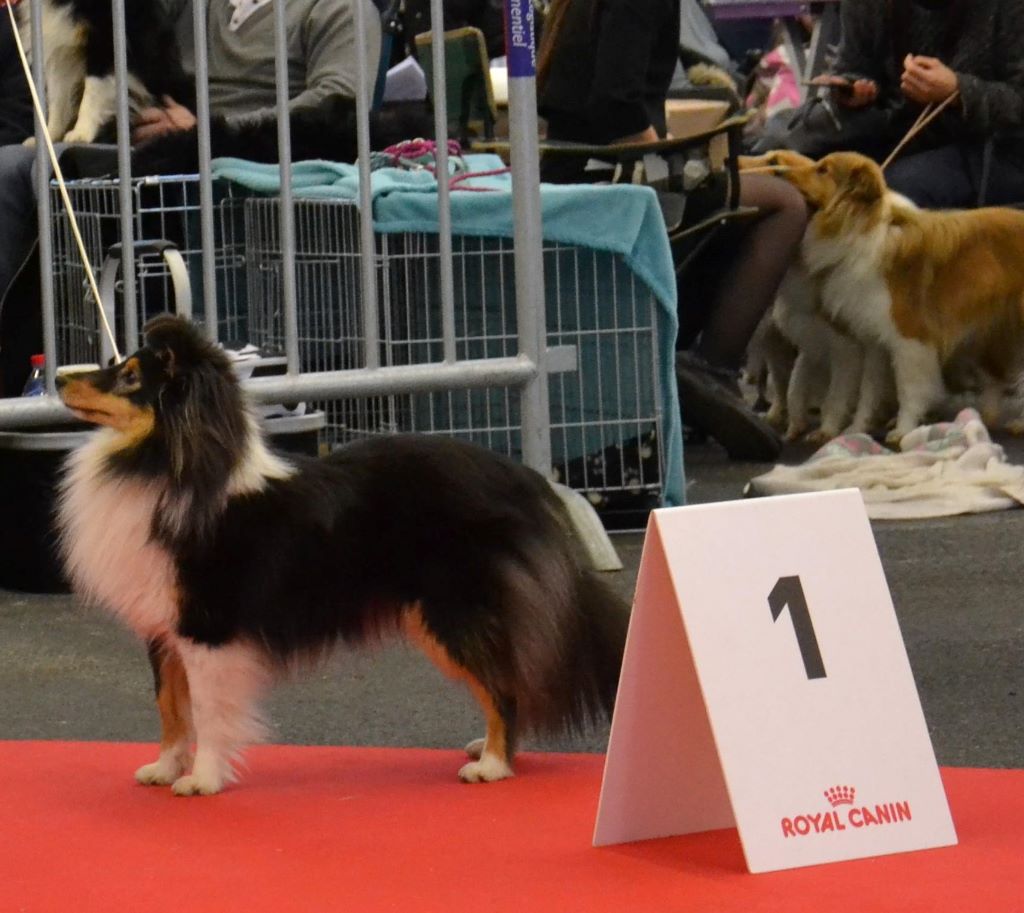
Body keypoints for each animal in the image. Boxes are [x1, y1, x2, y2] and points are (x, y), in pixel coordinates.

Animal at [18, 0, 192, 144]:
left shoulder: (104, 42)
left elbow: (91, 92)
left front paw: (81, 132)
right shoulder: (62, 50)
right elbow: (58, 99)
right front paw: (49, 137)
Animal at [58, 317, 630, 794]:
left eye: (130, 377)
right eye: (119, 365)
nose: (62, 377)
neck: (168, 463)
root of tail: (527, 478)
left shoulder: (206, 627)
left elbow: (208, 711)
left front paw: (202, 780)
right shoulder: (164, 629)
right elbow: (170, 708)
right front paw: (164, 769)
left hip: (452, 611)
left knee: (505, 684)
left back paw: (491, 764)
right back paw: (488, 749)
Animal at [745, 151, 1024, 444]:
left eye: (823, 170)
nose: (779, 172)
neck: (857, 230)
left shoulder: (908, 340)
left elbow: (908, 389)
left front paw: (903, 430)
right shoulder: (874, 340)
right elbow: (869, 391)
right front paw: (857, 429)